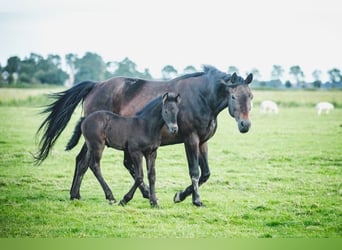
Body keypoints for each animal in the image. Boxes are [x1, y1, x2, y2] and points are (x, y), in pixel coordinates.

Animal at [35, 65, 254, 206]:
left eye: (250, 96)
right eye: (233, 96)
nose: (245, 125)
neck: (202, 97)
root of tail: (96, 85)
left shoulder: (203, 142)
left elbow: (206, 173)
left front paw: (181, 196)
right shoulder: (190, 139)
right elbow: (194, 171)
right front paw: (194, 200)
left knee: (84, 161)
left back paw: (77, 195)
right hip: (97, 141)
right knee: (89, 162)